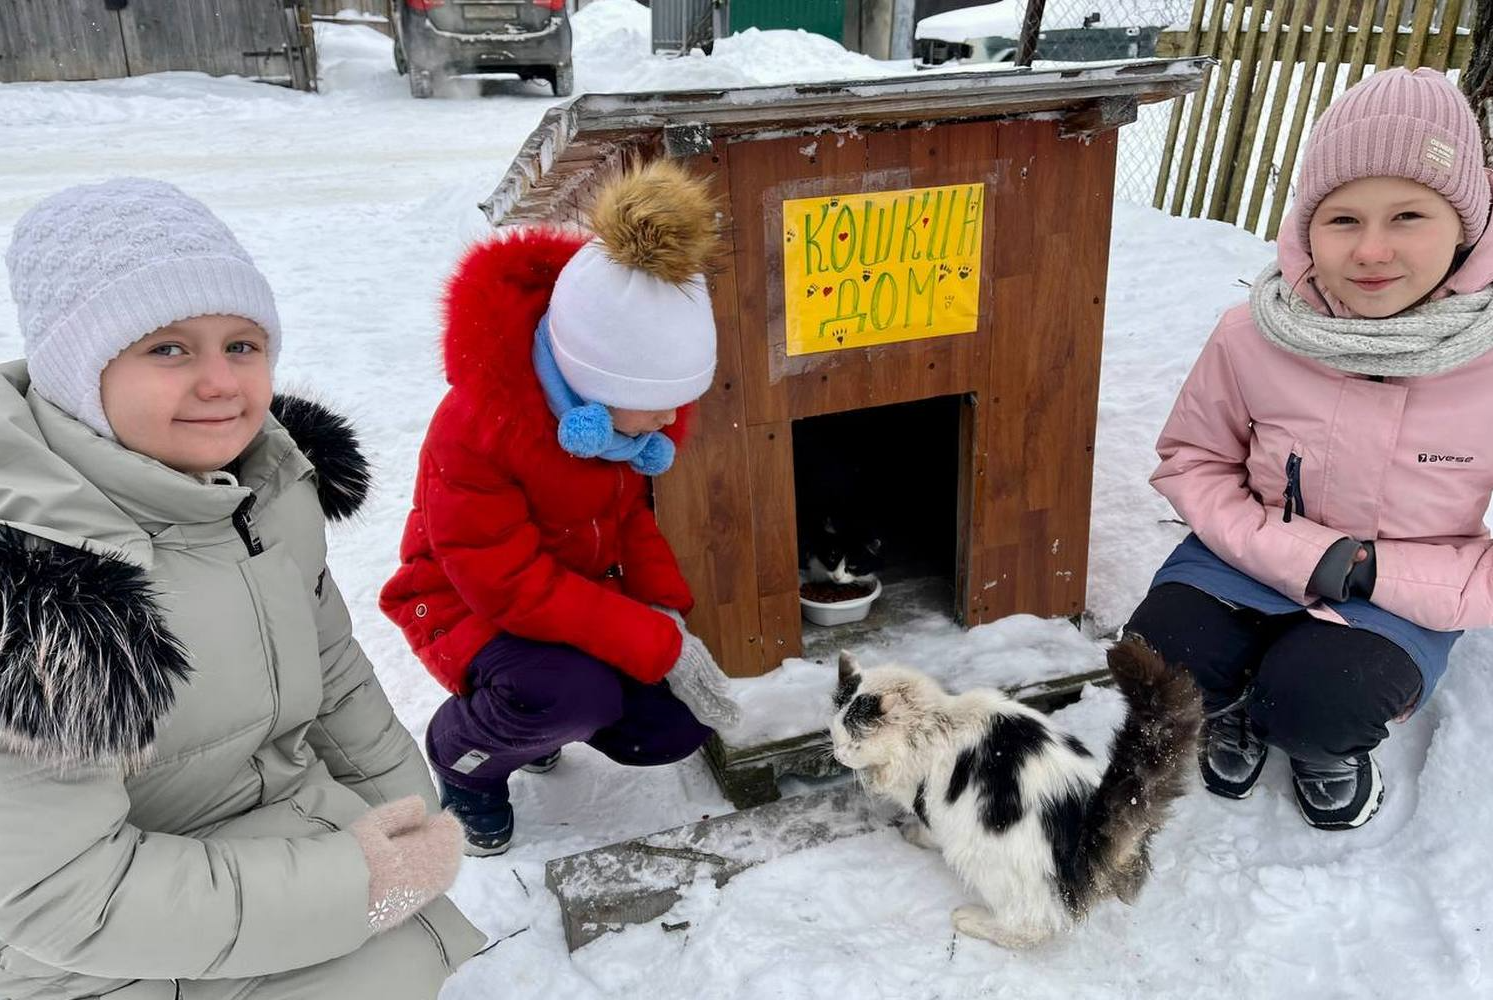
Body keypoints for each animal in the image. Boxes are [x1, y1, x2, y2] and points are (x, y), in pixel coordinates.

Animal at [830, 638, 1200, 949]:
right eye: (834, 733)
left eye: (855, 741)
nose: (838, 754)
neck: (934, 724)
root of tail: (1086, 830)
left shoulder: (934, 807)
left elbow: (928, 829)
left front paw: (914, 834)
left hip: (984, 859)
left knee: (1028, 928)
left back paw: (971, 919)